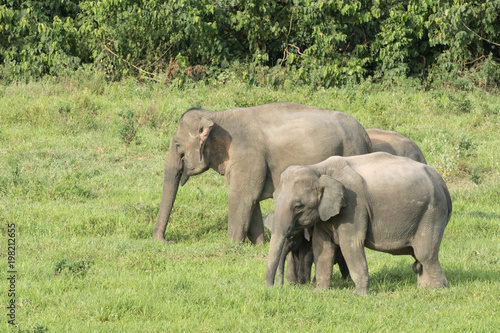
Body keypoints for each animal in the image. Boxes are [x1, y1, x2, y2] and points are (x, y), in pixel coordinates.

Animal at [154, 102, 374, 244]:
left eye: (177, 146)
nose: (166, 241)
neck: (217, 116)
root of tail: (366, 135)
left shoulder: (248, 156)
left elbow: (241, 196)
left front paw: (232, 245)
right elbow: (252, 199)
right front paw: (258, 245)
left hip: (352, 151)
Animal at [266, 151, 454, 294]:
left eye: (298, 206)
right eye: (273, 198)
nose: (273, 288)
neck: (318, 168)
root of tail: (441, 180)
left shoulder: (353, 205)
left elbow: (350, 243)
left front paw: (359, 294)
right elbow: (321, 245)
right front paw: (319, 292)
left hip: (431, 212)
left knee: (425, 254)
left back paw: (437, 290)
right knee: (419, 256)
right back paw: (424, 288)